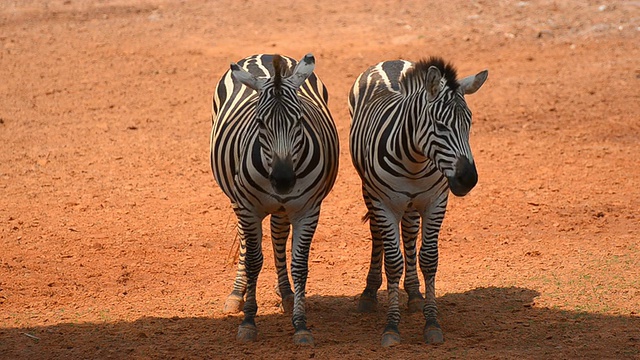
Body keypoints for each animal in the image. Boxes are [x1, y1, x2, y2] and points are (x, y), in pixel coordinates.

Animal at [210, 53, 340, 346]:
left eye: (300, 121)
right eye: (260, 123)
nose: (283, 180)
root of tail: (268, 56)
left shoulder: (308, 210)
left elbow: (299, 264)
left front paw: (300, 325)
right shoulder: (248, 207)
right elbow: (253, 261)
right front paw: (248, 322)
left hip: (282, 207)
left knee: (278, 237)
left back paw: (287, 293)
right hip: (237, 201)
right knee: (246, 243)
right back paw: (236, 294)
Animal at [348, 56, 488, 346]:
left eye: (469, 123)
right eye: (439, 126)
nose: (468, 179)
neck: (415, 159)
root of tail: (390, 60)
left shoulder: (435, 202)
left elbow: (429, 258)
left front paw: (432, 322)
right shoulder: (385, 205)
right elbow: (393, 262)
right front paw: (391, 326)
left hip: (413, 203)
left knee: (410, 233)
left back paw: (413, 293)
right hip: (369, 191)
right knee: (377, 234)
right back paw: (369, 293)